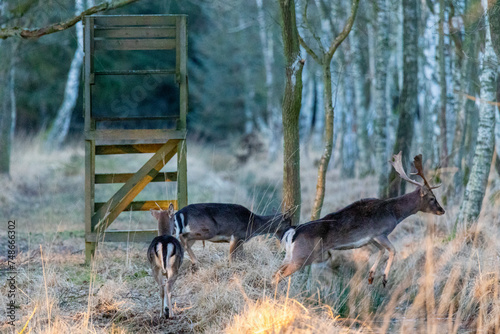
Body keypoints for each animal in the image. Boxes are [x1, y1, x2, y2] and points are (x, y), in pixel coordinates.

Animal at [274, 153, 446, 286]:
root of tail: (292, 232)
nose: (442, 210)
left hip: (290, 255)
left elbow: (382, 250)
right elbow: (393, 250)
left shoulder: (370, 238)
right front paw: (384, 278)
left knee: (276, 271)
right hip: (303, 255)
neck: (394, 213)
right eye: (432, 198)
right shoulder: (380, 232)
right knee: (277, 275)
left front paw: (371, 276)